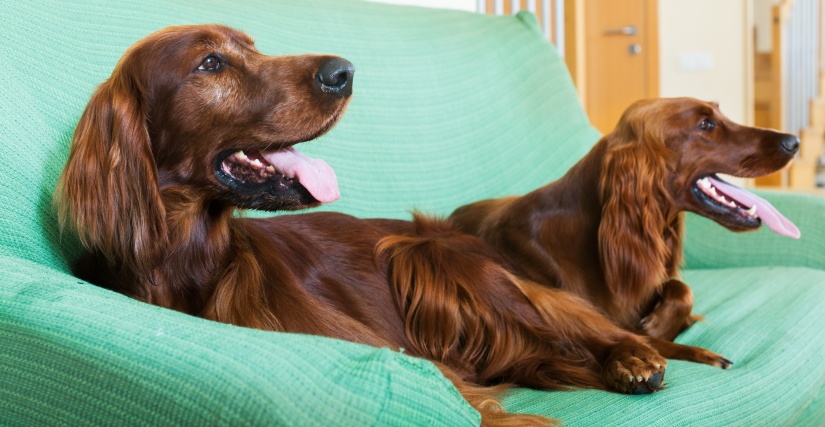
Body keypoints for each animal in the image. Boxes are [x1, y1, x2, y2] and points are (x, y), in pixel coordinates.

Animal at [54, 25, 728, 424]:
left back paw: (635, 357)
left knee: (584, 327)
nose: (343, 70)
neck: (193, 265)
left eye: (255, 45)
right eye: (211, 63)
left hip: (431, 258)